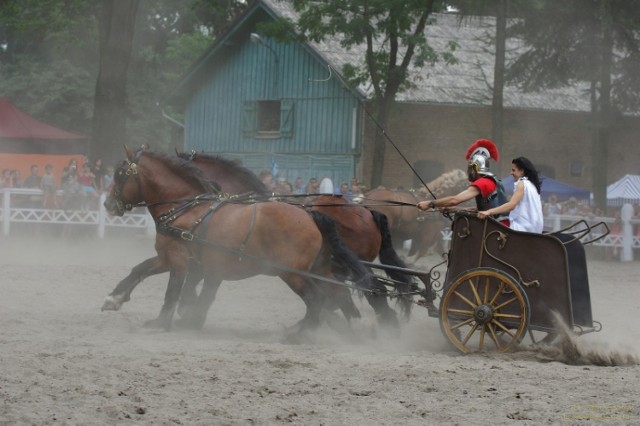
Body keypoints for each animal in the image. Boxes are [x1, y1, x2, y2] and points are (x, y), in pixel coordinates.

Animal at [104, 148, 390, 338]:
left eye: (119, 174)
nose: (108, 203)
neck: (186, 207)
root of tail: (310, 215)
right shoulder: (174, 259)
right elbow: (140, 270)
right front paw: (114, 298)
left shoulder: (180, 260)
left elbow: (174, 291)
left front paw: (165, 321)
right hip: (321, 268)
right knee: (339, 294)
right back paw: (353, 328)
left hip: (292, 273)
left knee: (318, 299)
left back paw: (300, 332)